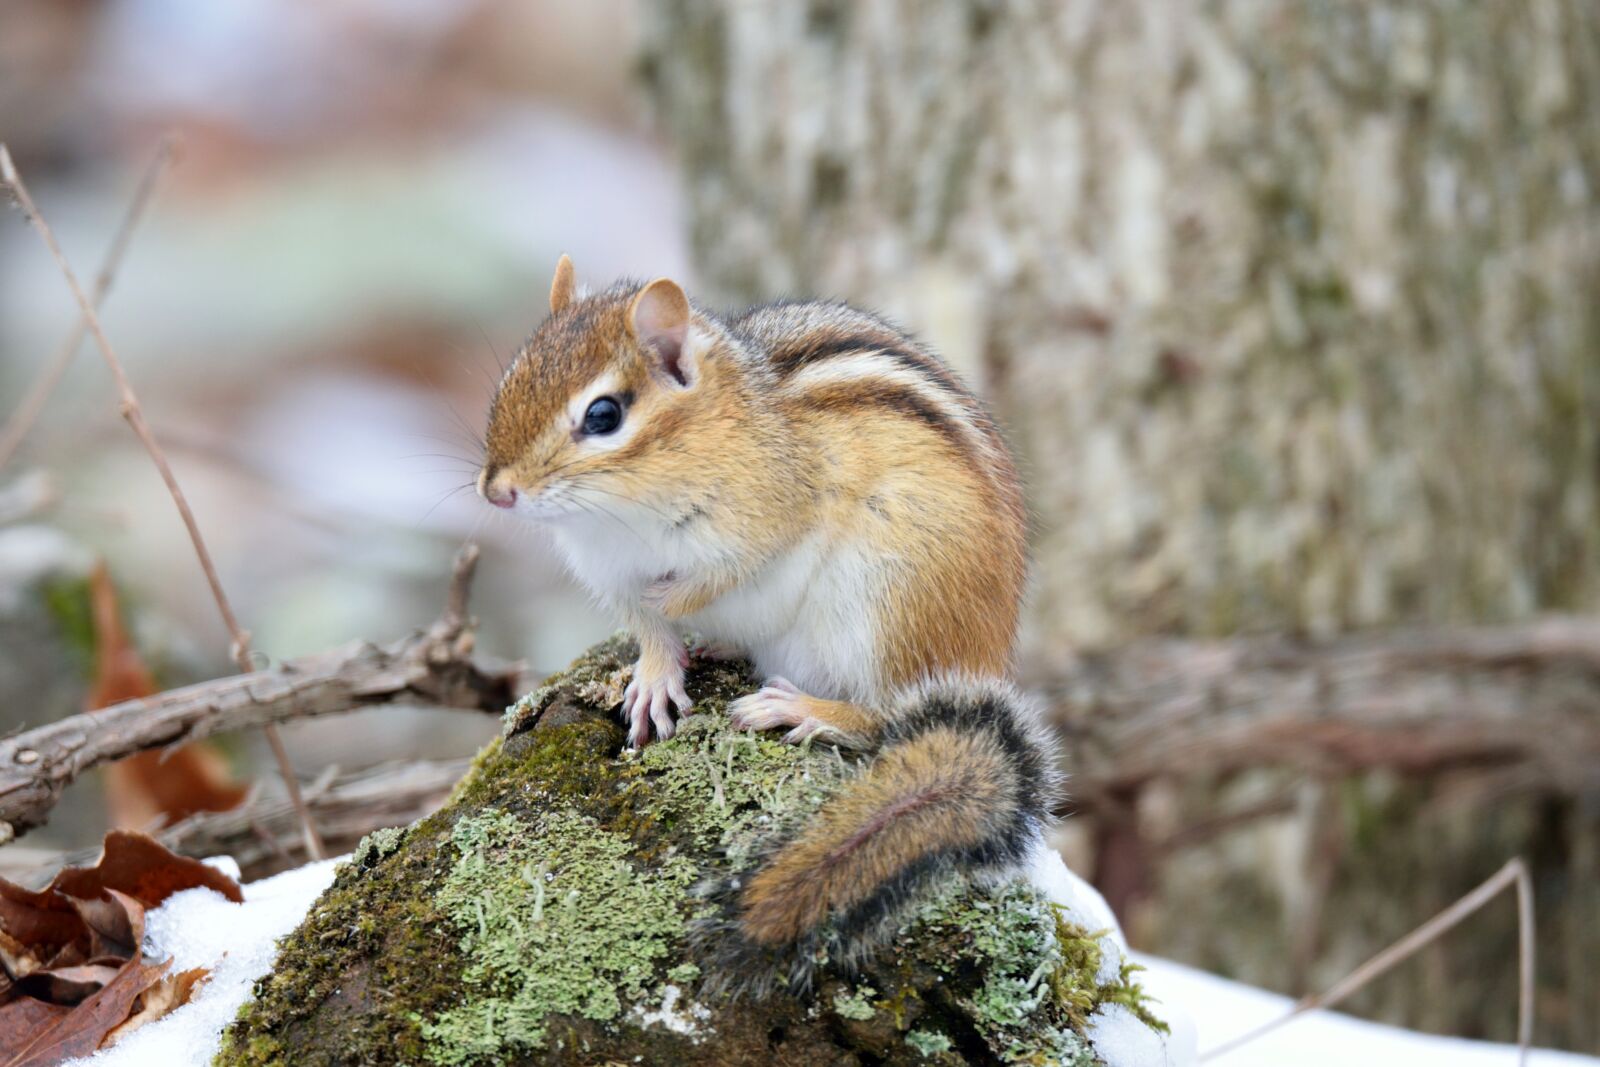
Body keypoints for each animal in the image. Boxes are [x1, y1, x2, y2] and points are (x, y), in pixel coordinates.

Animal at [478, 255, 1058, 991]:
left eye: (603, 414)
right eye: (509, 381)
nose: (496, 492)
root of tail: (988, 657)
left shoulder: (768, 517)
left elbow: (710, 581)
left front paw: (677, 601)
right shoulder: (611, 579)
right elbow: (650, 632)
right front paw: (653, 681)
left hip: (887, 601)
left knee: (884, 712)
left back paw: (801, 708)